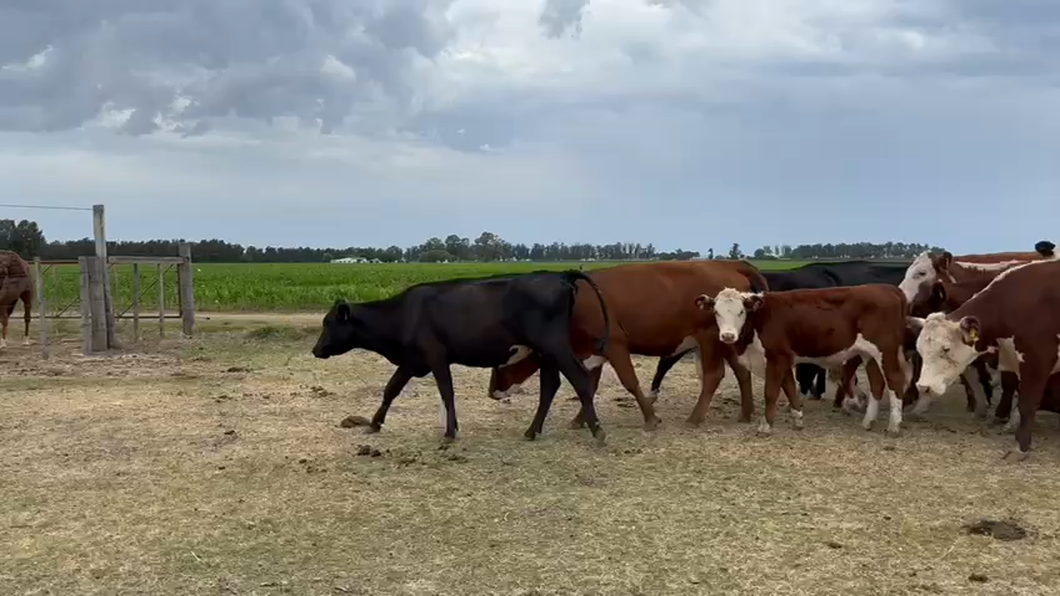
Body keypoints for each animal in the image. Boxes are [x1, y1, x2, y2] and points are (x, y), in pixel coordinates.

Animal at [311, 268, 614, 441]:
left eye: (329, 323)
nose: (316, 349)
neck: (402, 315)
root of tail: (561, 274)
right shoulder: (411, 361)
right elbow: (391, 389)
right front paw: (374, 424)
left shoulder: (436, 357)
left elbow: (446, 392)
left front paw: (449, 432)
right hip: (546, 352)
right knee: (550, 386)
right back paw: (532, 431)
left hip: (554, 346)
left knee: (580, 379)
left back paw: (597, 429)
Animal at [487, 258, 771, 426]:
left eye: (502, 360)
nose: (491, 392)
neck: (574, 305)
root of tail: (729, 264)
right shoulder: (595, 350)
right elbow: (589, 385)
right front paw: (582, 419)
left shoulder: (615, 346)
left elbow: (630, 382)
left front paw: (650, 417)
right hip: (727, 339)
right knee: (741, 372)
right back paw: (745, 413)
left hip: (710, 338)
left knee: (714, 375)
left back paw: (695, 417)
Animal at [695, 282, 911, 436]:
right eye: (716, 312)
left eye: (741, 311)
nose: (727, 336)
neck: (759, 319)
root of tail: (888, 288)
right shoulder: (784, 358)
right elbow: (790, 389)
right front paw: (798, 420)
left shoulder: (777, 357)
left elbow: (771, 392)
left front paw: (766, 427)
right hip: (869, 355)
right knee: (877, 384)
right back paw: (867, 422)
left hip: (886, 351)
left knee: (895, 380)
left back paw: (894, 426)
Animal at [907, 256, 1060, 460]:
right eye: (921, 350)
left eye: (946, 348)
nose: (924, 387)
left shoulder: (1037, 360)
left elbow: (1027, 403)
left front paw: (1020, 446)